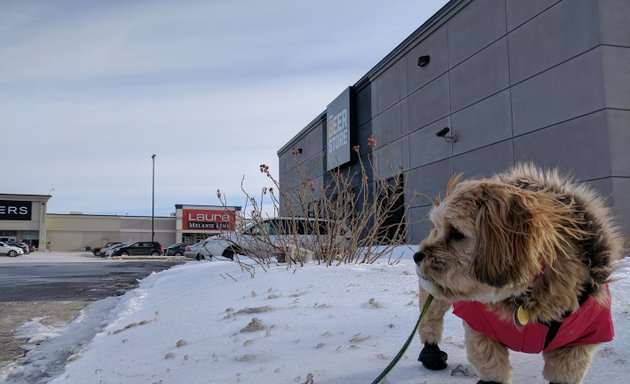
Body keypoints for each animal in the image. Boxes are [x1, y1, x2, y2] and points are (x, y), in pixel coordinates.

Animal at [412, 164, 624, 384]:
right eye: (441, 230)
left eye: (456, 233)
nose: (417, 255)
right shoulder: (481, 328)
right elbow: (491, 365)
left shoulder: (579, 339)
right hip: (434, 297)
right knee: (429, 319)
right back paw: (431, 352)